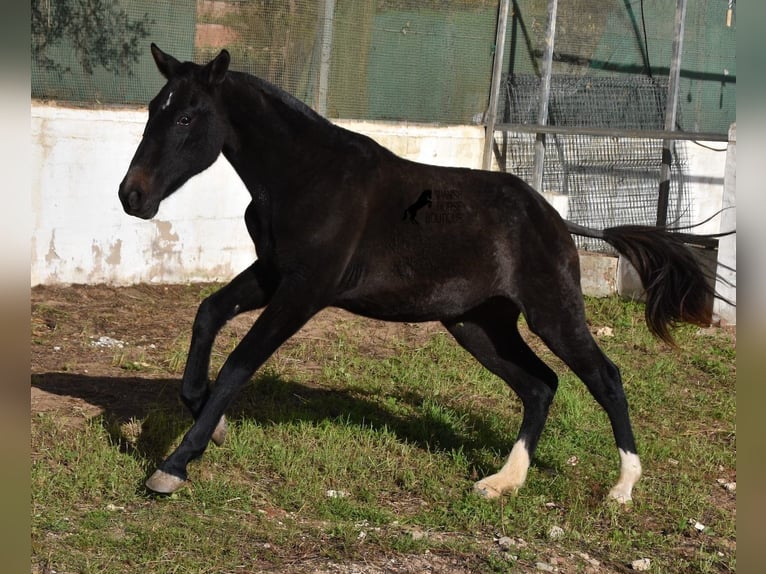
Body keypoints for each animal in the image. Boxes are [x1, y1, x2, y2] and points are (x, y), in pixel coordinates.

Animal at [118, 45, 720, 504]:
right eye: (152, 109)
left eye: (188, 117)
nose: (132, 196)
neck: (306, 177)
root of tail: (553, 218)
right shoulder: (272, 274)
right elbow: (208, 313)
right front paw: (208, 419)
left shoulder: (304, 291)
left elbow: (240, 363)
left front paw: (174, 464)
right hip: (478, 325)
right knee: (540, 385)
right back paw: (502, 482)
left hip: (553, 312)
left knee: (604, 377)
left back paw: (622, 488)